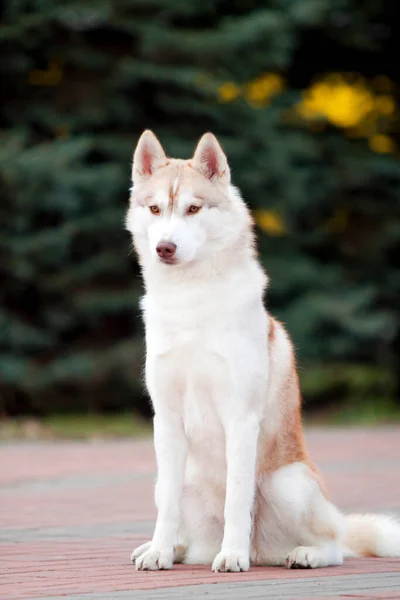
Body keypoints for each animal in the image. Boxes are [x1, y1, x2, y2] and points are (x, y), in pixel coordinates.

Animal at [126, 131, 400, 572]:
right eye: (155, 208)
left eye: (193, 209)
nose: (164, 248)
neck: (191, 301)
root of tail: (262, 551)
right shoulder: (165, 421)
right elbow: (167, 508)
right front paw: (159, 552)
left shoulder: (240, 419)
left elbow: (238, 501)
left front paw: (233, 556)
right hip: (174, 480)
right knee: (185, 527)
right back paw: (176, 549)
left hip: (287, 483)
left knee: (334, 546)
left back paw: (297, 554)